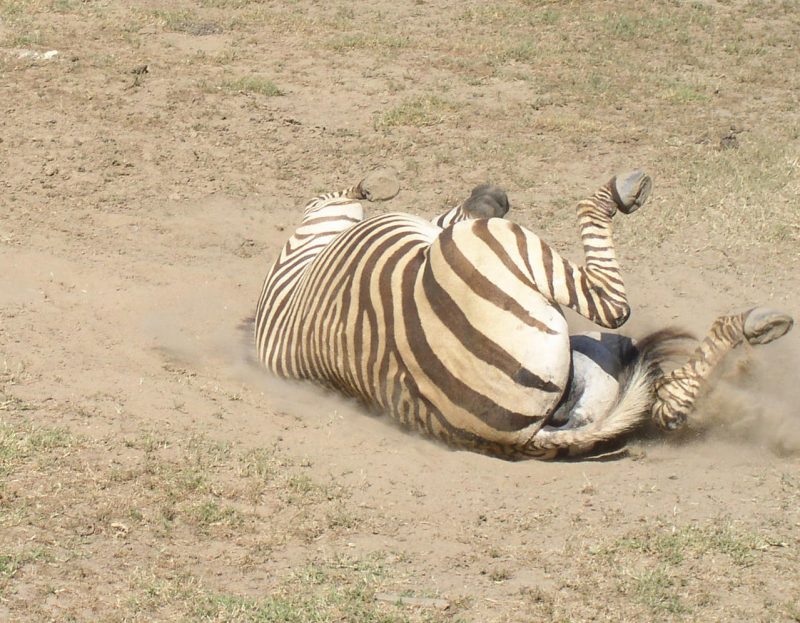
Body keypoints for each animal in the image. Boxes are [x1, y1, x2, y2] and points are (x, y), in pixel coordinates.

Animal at [253, 169, 792, 458]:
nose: (499, 195)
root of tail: (520, 441)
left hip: (589, 369)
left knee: (665, 404)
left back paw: (756, 327)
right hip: (499, 252)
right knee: (612, 307)